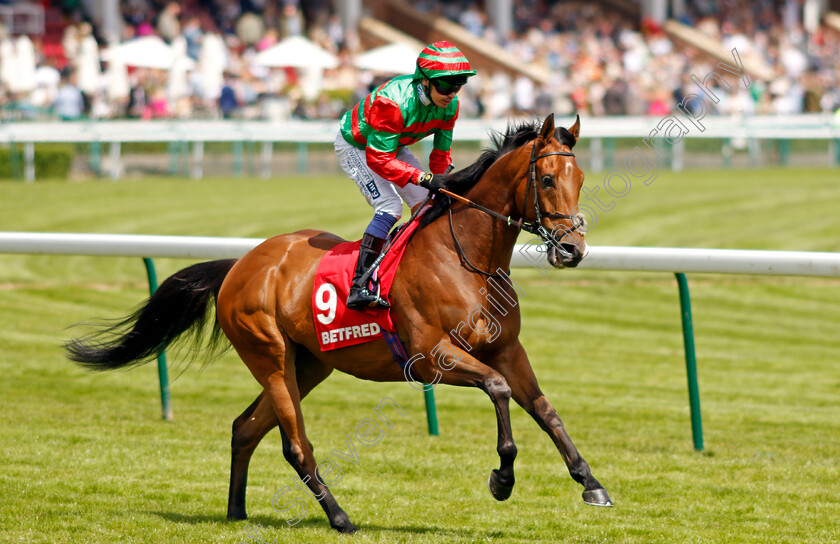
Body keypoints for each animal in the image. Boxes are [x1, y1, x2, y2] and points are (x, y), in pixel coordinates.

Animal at [65, 112, 612, 532]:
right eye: (547, 180)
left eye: (581, 181)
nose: (573, 250)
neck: (466, 259)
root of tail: (239, 265)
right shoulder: (431, 357)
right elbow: (498, 388)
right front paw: (502, 479)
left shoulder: (507, 349)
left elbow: (545, 410)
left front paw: (591, 483)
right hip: (270, 356)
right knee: (295, 444)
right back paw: (339, 517)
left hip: (309, 364)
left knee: (245, 428)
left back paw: (237, 511)